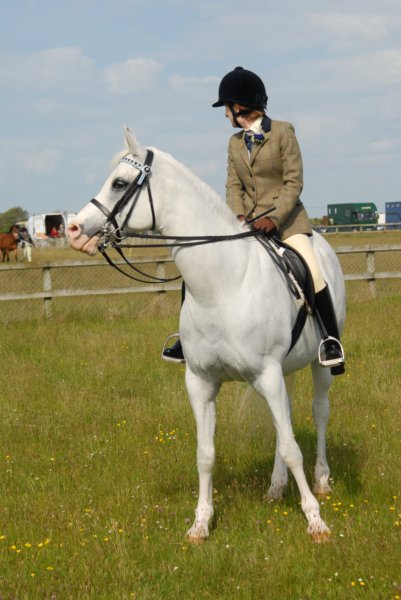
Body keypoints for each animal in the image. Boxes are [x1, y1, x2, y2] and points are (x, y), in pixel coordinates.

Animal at [68, 126, 344, 544]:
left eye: (119, 183)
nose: (72, 230)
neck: (222, 284)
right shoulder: (200, 382)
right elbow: (206, 454)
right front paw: (200, 524)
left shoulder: (266, 375)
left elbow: (294, 448)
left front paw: (316, 521)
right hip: (283, 373)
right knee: (284, 422)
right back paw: (276, 487)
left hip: (318, 365)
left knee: (319, 412)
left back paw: (323, 482)